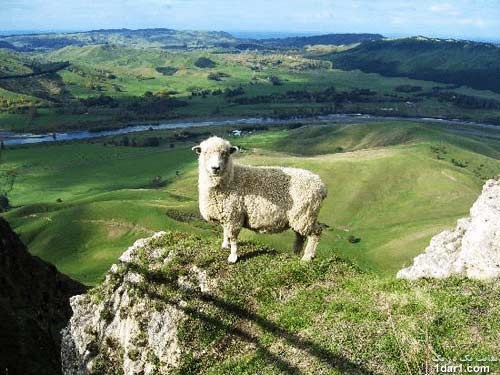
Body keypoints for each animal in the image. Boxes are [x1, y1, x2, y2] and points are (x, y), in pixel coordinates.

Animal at [192, 137, 328, 262]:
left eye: (225, 153)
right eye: (205, 152)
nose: (215, 168)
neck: (231, 179)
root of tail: (320, 184)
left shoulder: (234, 215)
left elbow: (234, 237)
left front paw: (233, 256)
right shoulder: (226, 213)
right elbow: (225, 231)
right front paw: (225, 245)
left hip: (305, 215)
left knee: (315, 233)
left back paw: (307, 257)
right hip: (300, 216)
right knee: (300, 236)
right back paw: (295, 252)